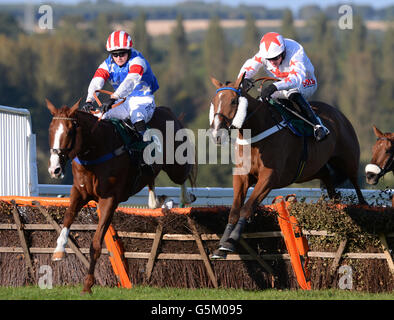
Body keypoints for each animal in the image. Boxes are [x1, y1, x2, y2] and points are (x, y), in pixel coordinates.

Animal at [46, 99, 197, 292]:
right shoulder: (79, 192)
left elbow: (96, 243)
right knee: (153, 186)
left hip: (175, 165)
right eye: (51, 130)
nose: (54, 169)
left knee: (184, 176)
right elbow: (68, 216)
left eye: (70, 131)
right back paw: (159, 200)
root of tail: (167, 110)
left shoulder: (109, 199)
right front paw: (59, 249)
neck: (97, 150)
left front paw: (87, 284)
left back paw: (183, 198)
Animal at [209, 73, 366, 258]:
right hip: (310, 170)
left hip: (349, 160)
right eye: (214, 101)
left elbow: (247, 208)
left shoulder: (269, 177)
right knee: (328, 179)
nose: (216, 134)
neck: (256, 132)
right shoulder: (241, 176)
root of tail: (339, 114)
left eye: (234, 101)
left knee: (356, 184)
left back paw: (363, 205)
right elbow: (234, 211)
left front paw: (230, 241)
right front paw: (222, 246)